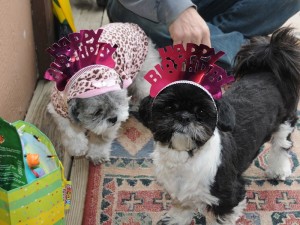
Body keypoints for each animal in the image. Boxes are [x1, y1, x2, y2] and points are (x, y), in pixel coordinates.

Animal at [44, 22, 159, 163]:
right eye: (97, 112)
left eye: (118, 103)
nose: (114, 118)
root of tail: (133, 25)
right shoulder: (59, 111)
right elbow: (71, 132)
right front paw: (77, 147)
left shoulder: (110, 124)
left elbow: (100, 138)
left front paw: (96, 153)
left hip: (143, 81)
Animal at [139, 28, 300, 225]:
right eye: (169, 108)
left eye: (201, 111)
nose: (184, 117)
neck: (183, 158)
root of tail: (269, 69)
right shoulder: (179, 191)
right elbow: (182, 206)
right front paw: (176, 219)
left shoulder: (228, 197)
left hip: (285, 122)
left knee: (281, 146)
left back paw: (278, 169)